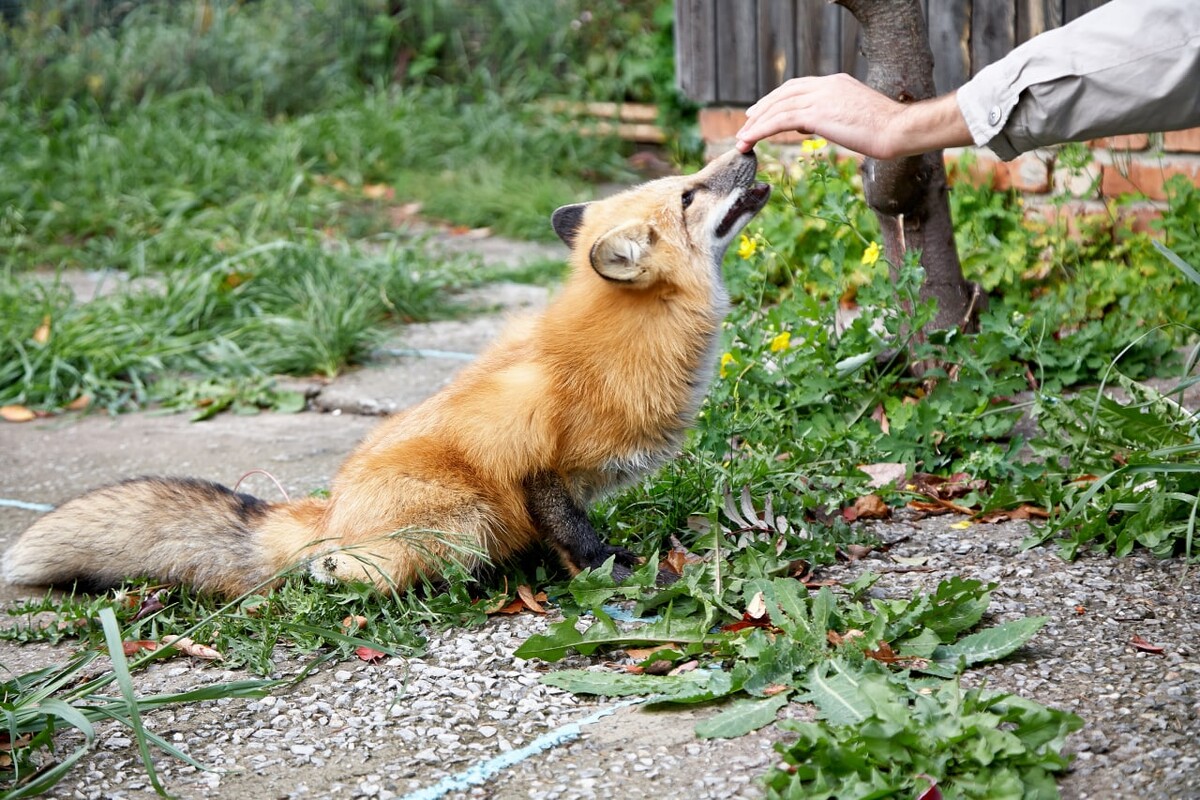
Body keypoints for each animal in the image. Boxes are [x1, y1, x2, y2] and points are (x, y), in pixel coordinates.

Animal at [2, 149, 768, 599]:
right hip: (465, 518)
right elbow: (577, 537)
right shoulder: (534, 463)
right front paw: (622, 575)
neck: (621, 346)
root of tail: (331, 508)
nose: (750, 148)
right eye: (689, 195)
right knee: (337, 568)